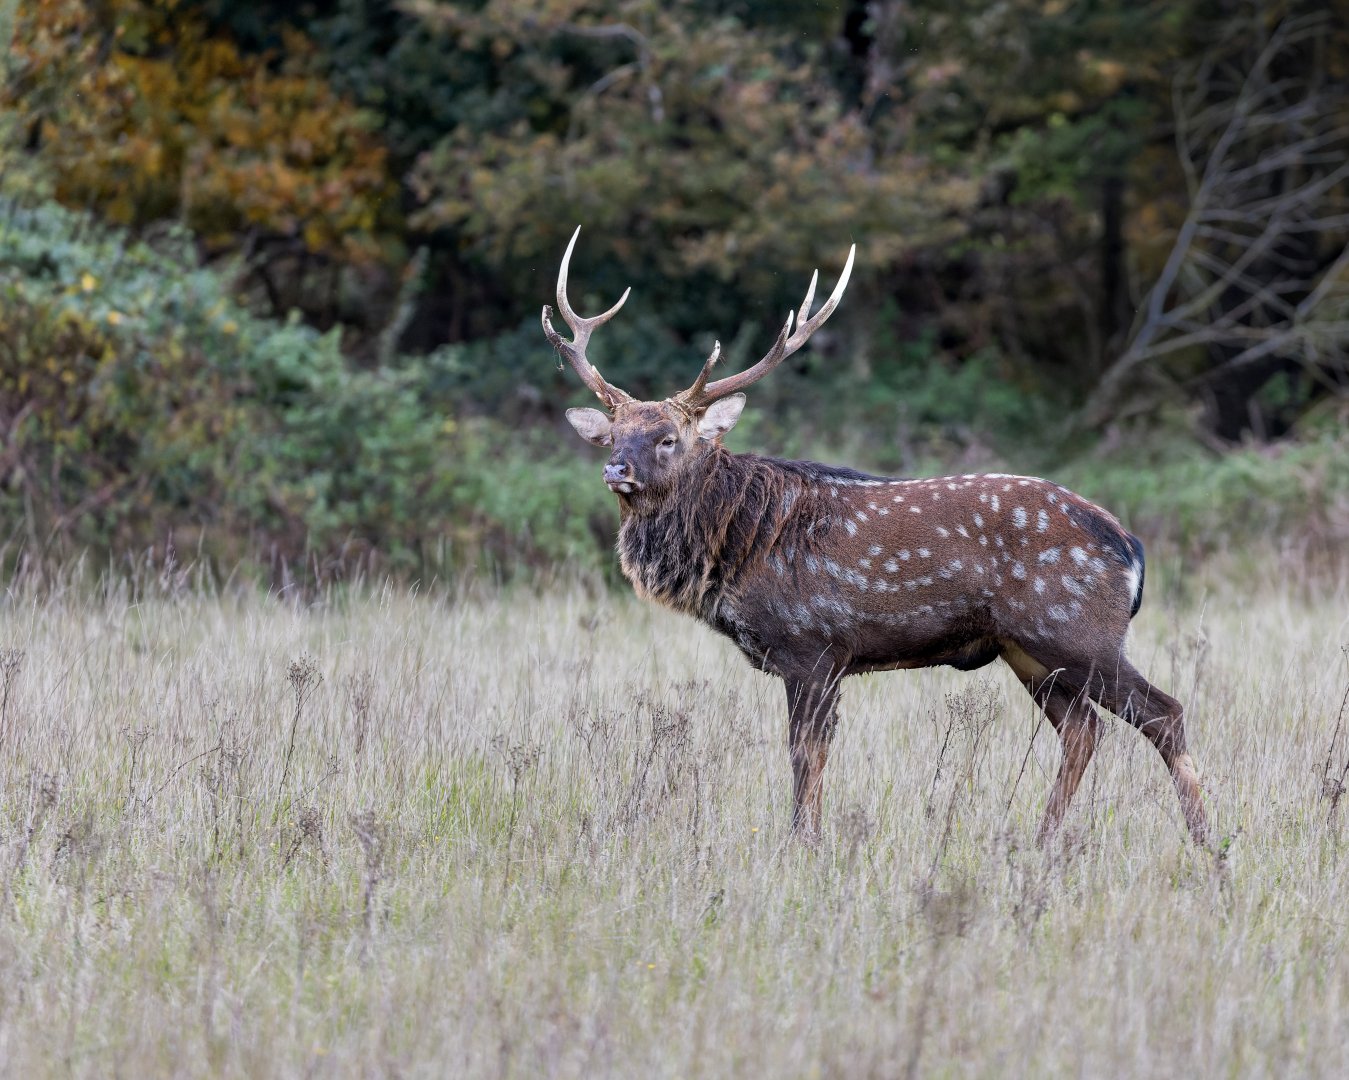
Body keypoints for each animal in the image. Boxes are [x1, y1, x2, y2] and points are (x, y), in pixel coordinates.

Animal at [543, 227, 1210, 848]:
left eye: (667, 438)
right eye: (613, 434)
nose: (616, 469)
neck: (737, 551)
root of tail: (1130, 547)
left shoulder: (813, 646)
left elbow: (805, 758)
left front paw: (803, 845)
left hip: (1077, 628)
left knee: (1164, 713)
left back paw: (1207, 845)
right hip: (1028, 648)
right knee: (1083, 729)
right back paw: (1042, 842)